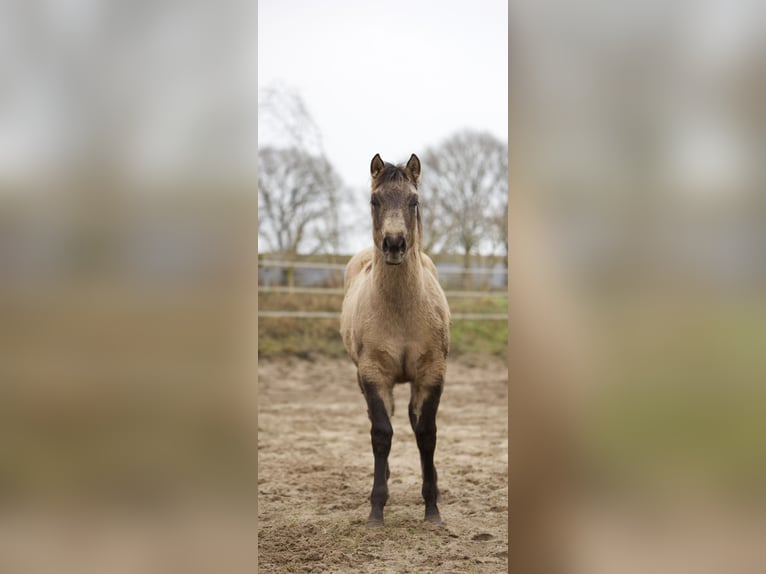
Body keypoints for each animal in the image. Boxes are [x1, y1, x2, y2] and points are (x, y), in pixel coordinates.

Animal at [340, 154, 450, 532]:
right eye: (375, 201)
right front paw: (376, 509)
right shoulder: (373, 374)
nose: (394, 244)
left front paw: (432, 508)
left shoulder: (432, 372)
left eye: (413, 201)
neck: (402, 310)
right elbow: (381, 433)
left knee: (415, 422)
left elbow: (426, 433)